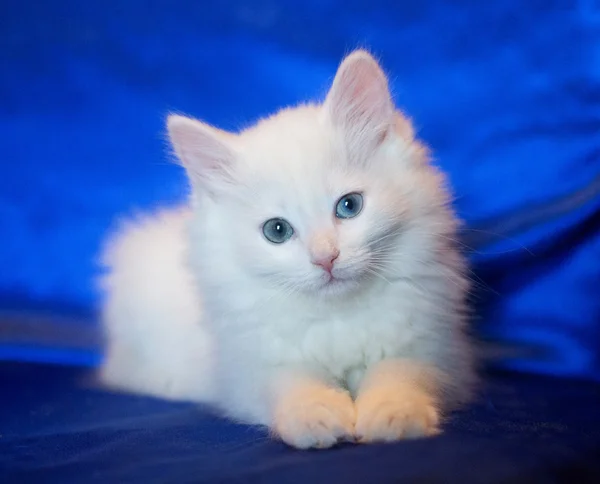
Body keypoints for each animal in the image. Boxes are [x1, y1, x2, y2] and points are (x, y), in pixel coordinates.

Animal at [98, 51, 476, 448]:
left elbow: (401, 372)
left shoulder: (438, 350)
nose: (325, 258)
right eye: (276, 231)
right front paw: (316, 416)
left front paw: (394, 414)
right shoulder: (248, 368)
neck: (336, 318)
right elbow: (293, 382)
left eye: (349, 206)